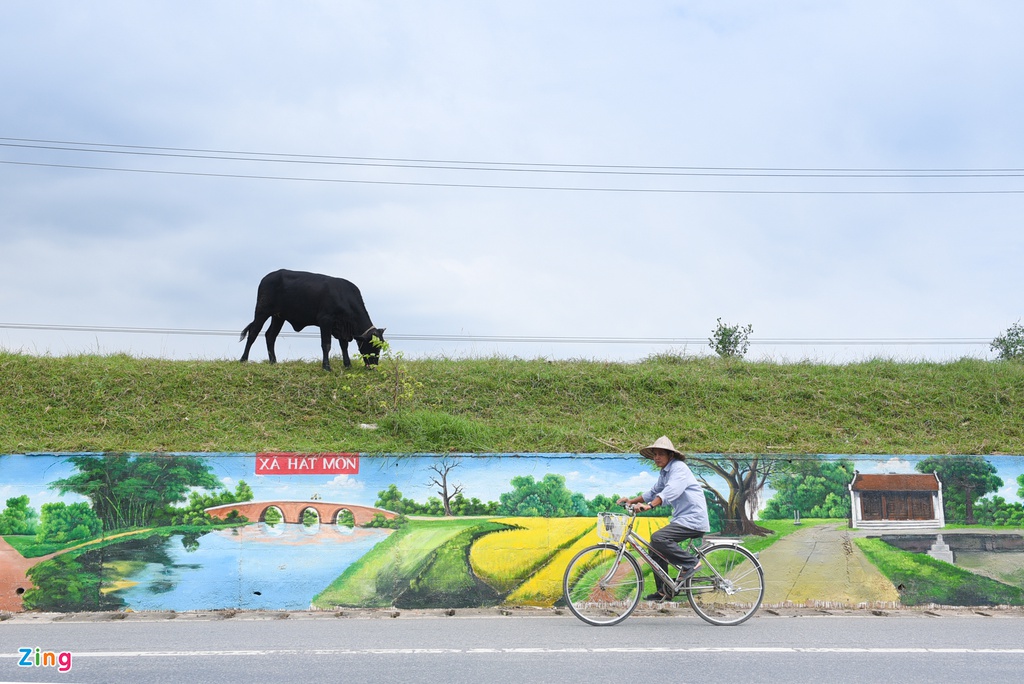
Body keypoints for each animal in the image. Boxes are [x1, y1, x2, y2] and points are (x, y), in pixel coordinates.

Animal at [240, 270, 387, 370]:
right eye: (373, 345)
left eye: (380, 347)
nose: (374, 366)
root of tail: (268, 276)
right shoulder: (325, 321)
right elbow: (326, 344)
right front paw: (326, 367)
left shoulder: (341, 327)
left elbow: (343, 345)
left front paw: (347, 365)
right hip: (262, 311)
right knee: (253, 333)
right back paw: (243, 359)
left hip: (278, 317)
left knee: (270, 335)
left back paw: (273, 361)